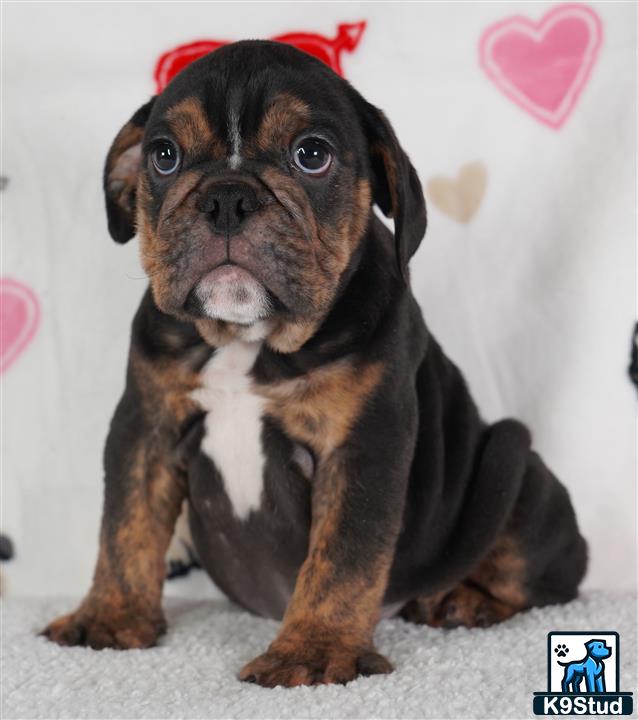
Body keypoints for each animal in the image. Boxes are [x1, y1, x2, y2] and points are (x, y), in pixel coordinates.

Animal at [42, 39, 588, 688]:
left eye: (312, 154)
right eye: (165, 157)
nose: (227, 197)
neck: (248, 339)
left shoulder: (362, 445)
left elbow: (342, 560)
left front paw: (313, 650)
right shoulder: (144, 428)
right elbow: (126, 527)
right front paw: (110, 616)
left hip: (513, 464)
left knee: (540, 570)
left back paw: (466, 598)